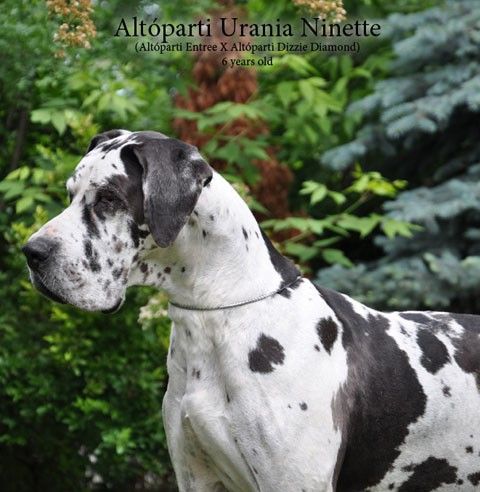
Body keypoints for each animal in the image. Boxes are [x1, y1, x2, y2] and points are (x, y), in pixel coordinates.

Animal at [23, 130, 480, 491]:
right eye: (70, 194)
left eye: (109, 198)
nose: (31, 252)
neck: (215, 316)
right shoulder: (196, 477)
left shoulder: (294, 482)